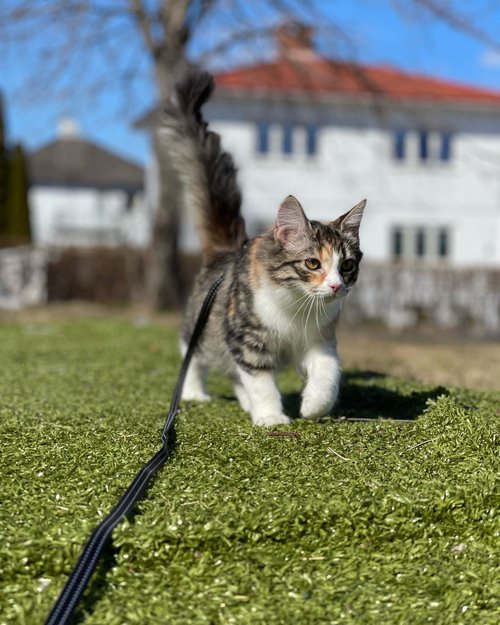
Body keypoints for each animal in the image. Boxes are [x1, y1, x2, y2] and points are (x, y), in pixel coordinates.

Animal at [160, 71, 365, 427]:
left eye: (347, 266)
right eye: (313, 264)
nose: (336, 285)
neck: (296, 306)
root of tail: (226, 250)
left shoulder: (320, 341)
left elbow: (328, 374)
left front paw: (313, 406)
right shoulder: (246, 338)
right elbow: (260, 380)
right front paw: (271, 417)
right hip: (203, 326)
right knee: (193, 355)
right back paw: (195, 393)